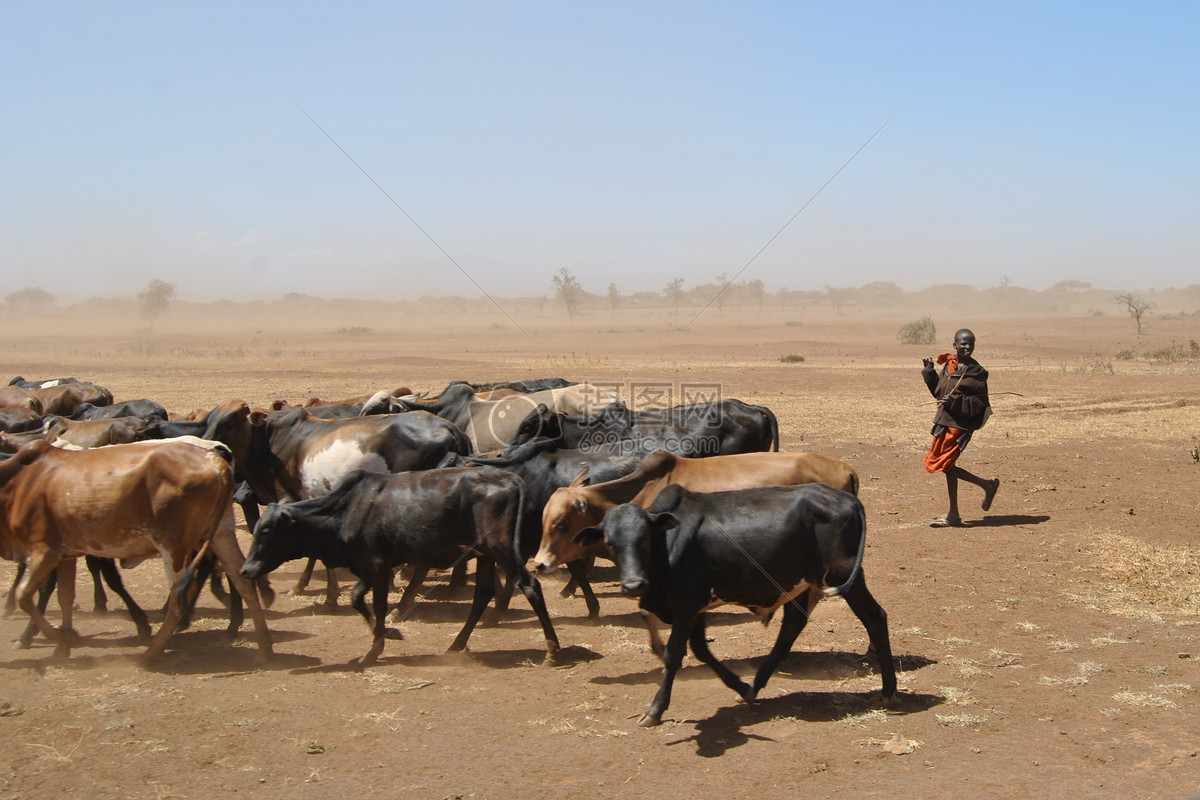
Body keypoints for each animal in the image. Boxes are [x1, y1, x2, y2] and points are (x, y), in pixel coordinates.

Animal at [0, 438, 272, 662]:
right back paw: (263, 647)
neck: (23, 481)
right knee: (241, 579)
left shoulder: (46, 549)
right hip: (220, 533)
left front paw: (59, 638)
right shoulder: (67, 553)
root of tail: (214, 460)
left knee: (181, 592)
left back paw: (152, 652)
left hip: (173, 545)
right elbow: (65, 596)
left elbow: (26, 595)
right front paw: (62, 646)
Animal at [246, 465, 564, 666]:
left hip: (502, 550)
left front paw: (375, 649)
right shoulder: (370, 567)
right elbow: (357, 599)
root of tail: (509, 478)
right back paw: (456, 645)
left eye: (267, 531)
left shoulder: (377, 565)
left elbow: (377, 606)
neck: (347, 508)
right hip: (485, 555)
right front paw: (387, 635)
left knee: (530, 585)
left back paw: (552, 652)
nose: (246, 570)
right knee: (482, 595)